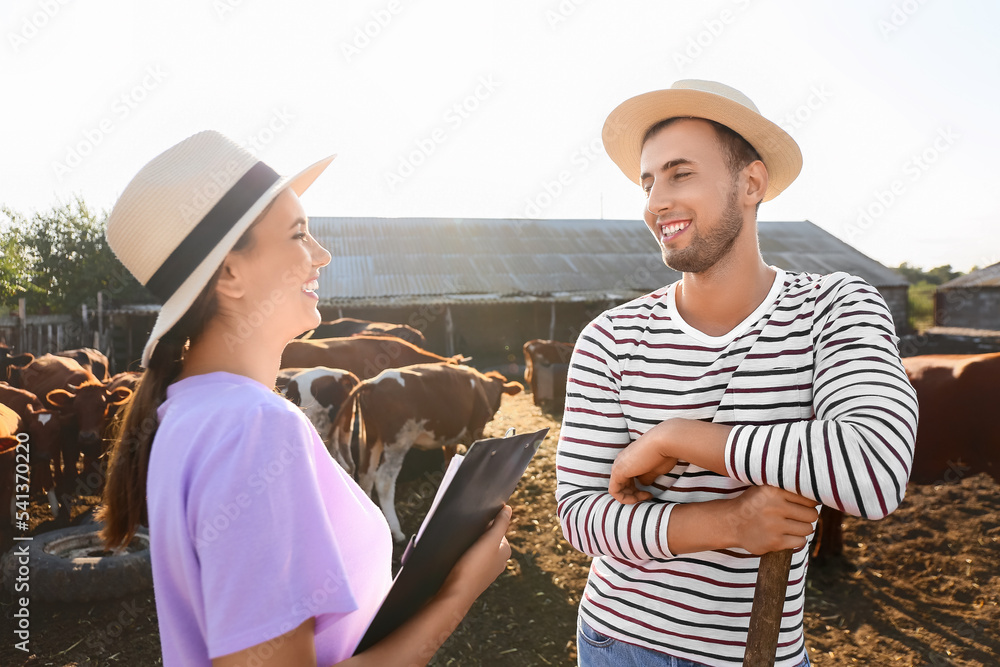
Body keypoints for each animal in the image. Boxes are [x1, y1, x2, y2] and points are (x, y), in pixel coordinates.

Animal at [344, 366, 524, 544]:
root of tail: (373, 383)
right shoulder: (474, 432)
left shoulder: (450, 440)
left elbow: (449, 463)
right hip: (398, 442)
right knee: (384, 481)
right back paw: (397, 531)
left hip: (371, 438)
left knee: (365, 475)